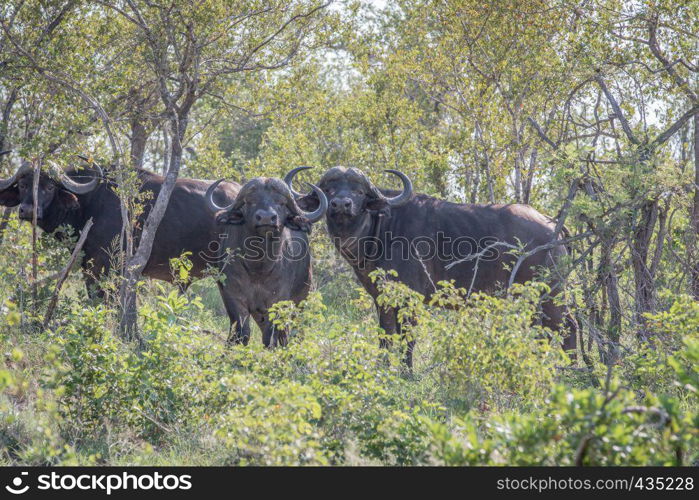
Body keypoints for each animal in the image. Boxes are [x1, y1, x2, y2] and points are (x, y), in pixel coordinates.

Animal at [206, 177, 330, 348]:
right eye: (250, 201)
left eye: (281, 202)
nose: (266, 218)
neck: (258, 267)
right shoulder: (232, 295)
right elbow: (241, 332)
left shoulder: (278, 300)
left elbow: (271, 336)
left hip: (302, 298)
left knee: (293, 331)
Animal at [288, 166, 576, 370]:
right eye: (329, 190)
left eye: (359, 192)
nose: (341, 204)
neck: (380, 230)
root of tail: (552, 225)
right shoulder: (382, 298)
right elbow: (385, 335)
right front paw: (384, 368)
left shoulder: (411, 297)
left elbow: (408, 338)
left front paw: (407, 373)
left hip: (549, 294)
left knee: (564, 327)